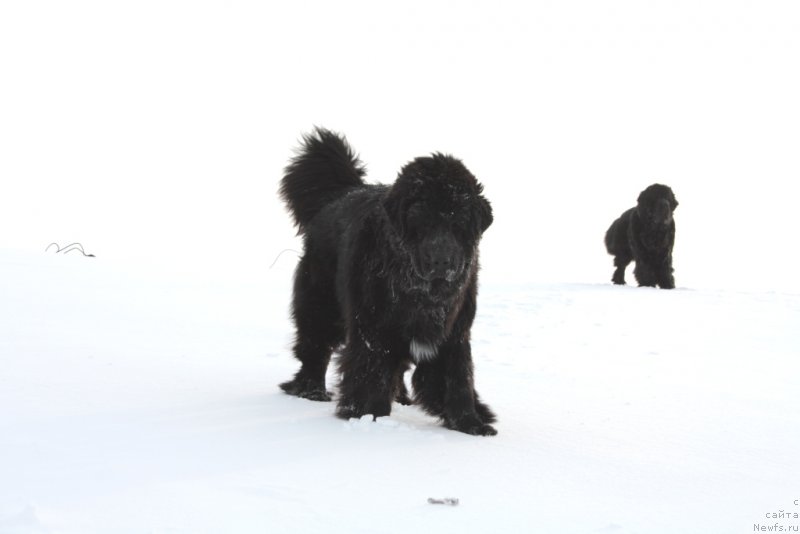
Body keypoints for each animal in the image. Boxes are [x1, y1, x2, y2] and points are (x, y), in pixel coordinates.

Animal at [278, 127, 496, 438]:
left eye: (459, 223)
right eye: (422, 221)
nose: (441, 260)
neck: (420, 293)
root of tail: (342, 193)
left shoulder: (453, 333)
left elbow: (457, 378)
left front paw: (471, 423)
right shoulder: (374, 329)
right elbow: (371, 370)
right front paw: (368, 415)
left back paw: (401, 397)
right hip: (320, 305)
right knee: (315, 348)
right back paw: (311, 390)